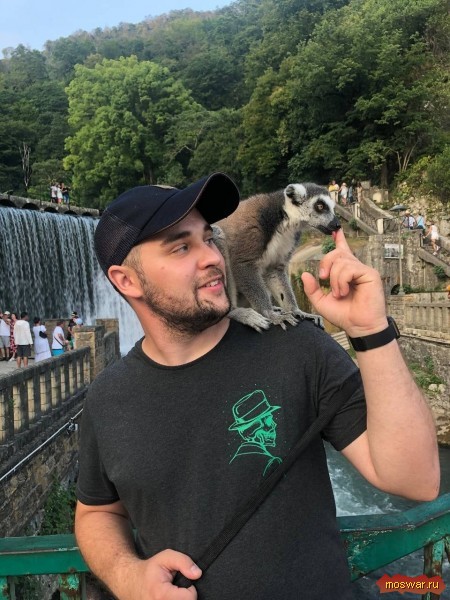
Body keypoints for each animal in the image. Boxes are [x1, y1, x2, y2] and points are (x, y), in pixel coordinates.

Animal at [213, 182, 341, 331]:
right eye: (320, 206)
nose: (337, 224)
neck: (284, 223)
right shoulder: (253, 230)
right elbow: (242, 263)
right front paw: (270, 314)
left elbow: (274, 271)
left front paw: (295, 311)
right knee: (217, 235)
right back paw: (236, 312)